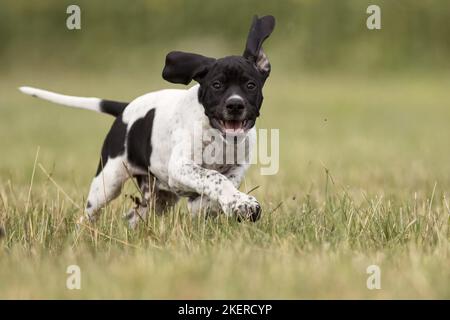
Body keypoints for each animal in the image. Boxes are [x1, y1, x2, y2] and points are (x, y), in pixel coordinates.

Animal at [20, 15, 274, 228]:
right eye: (217, 85)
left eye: (250, 85)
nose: (235, 105)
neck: (218, 136)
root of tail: (125, 109)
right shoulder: (180, 166)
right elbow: (214, 177)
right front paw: (239, 203)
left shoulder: (237, 167)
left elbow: (224, 181)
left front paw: (228, 203)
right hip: (107, 183)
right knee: (88, 215)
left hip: (158, 198)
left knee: (132, 217)